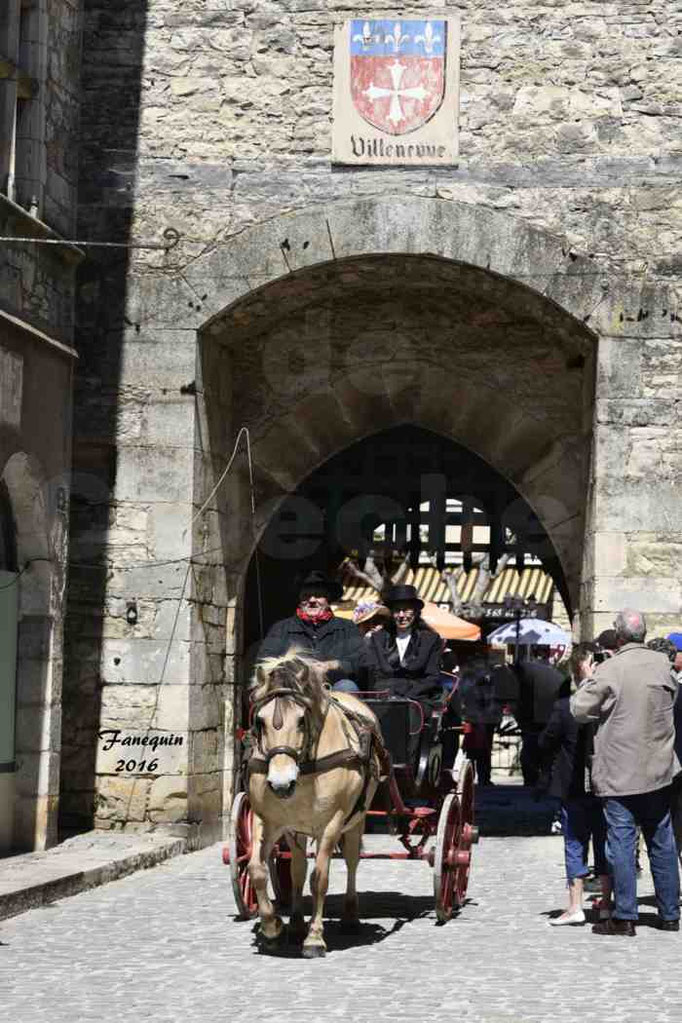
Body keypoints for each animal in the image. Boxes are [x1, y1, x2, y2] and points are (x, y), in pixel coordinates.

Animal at [246, 650, 386, 953]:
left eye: (301, 720)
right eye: (260, 721)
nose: (281, 783)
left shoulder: (332, 823)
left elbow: (320, 878)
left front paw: (315, 937)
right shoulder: (268, 820)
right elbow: (257, 870)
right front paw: (272, 927)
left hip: (355, 821)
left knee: (351, 861)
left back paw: (349, 917)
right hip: (296, 829)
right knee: (298, 869)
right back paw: (296, 924)